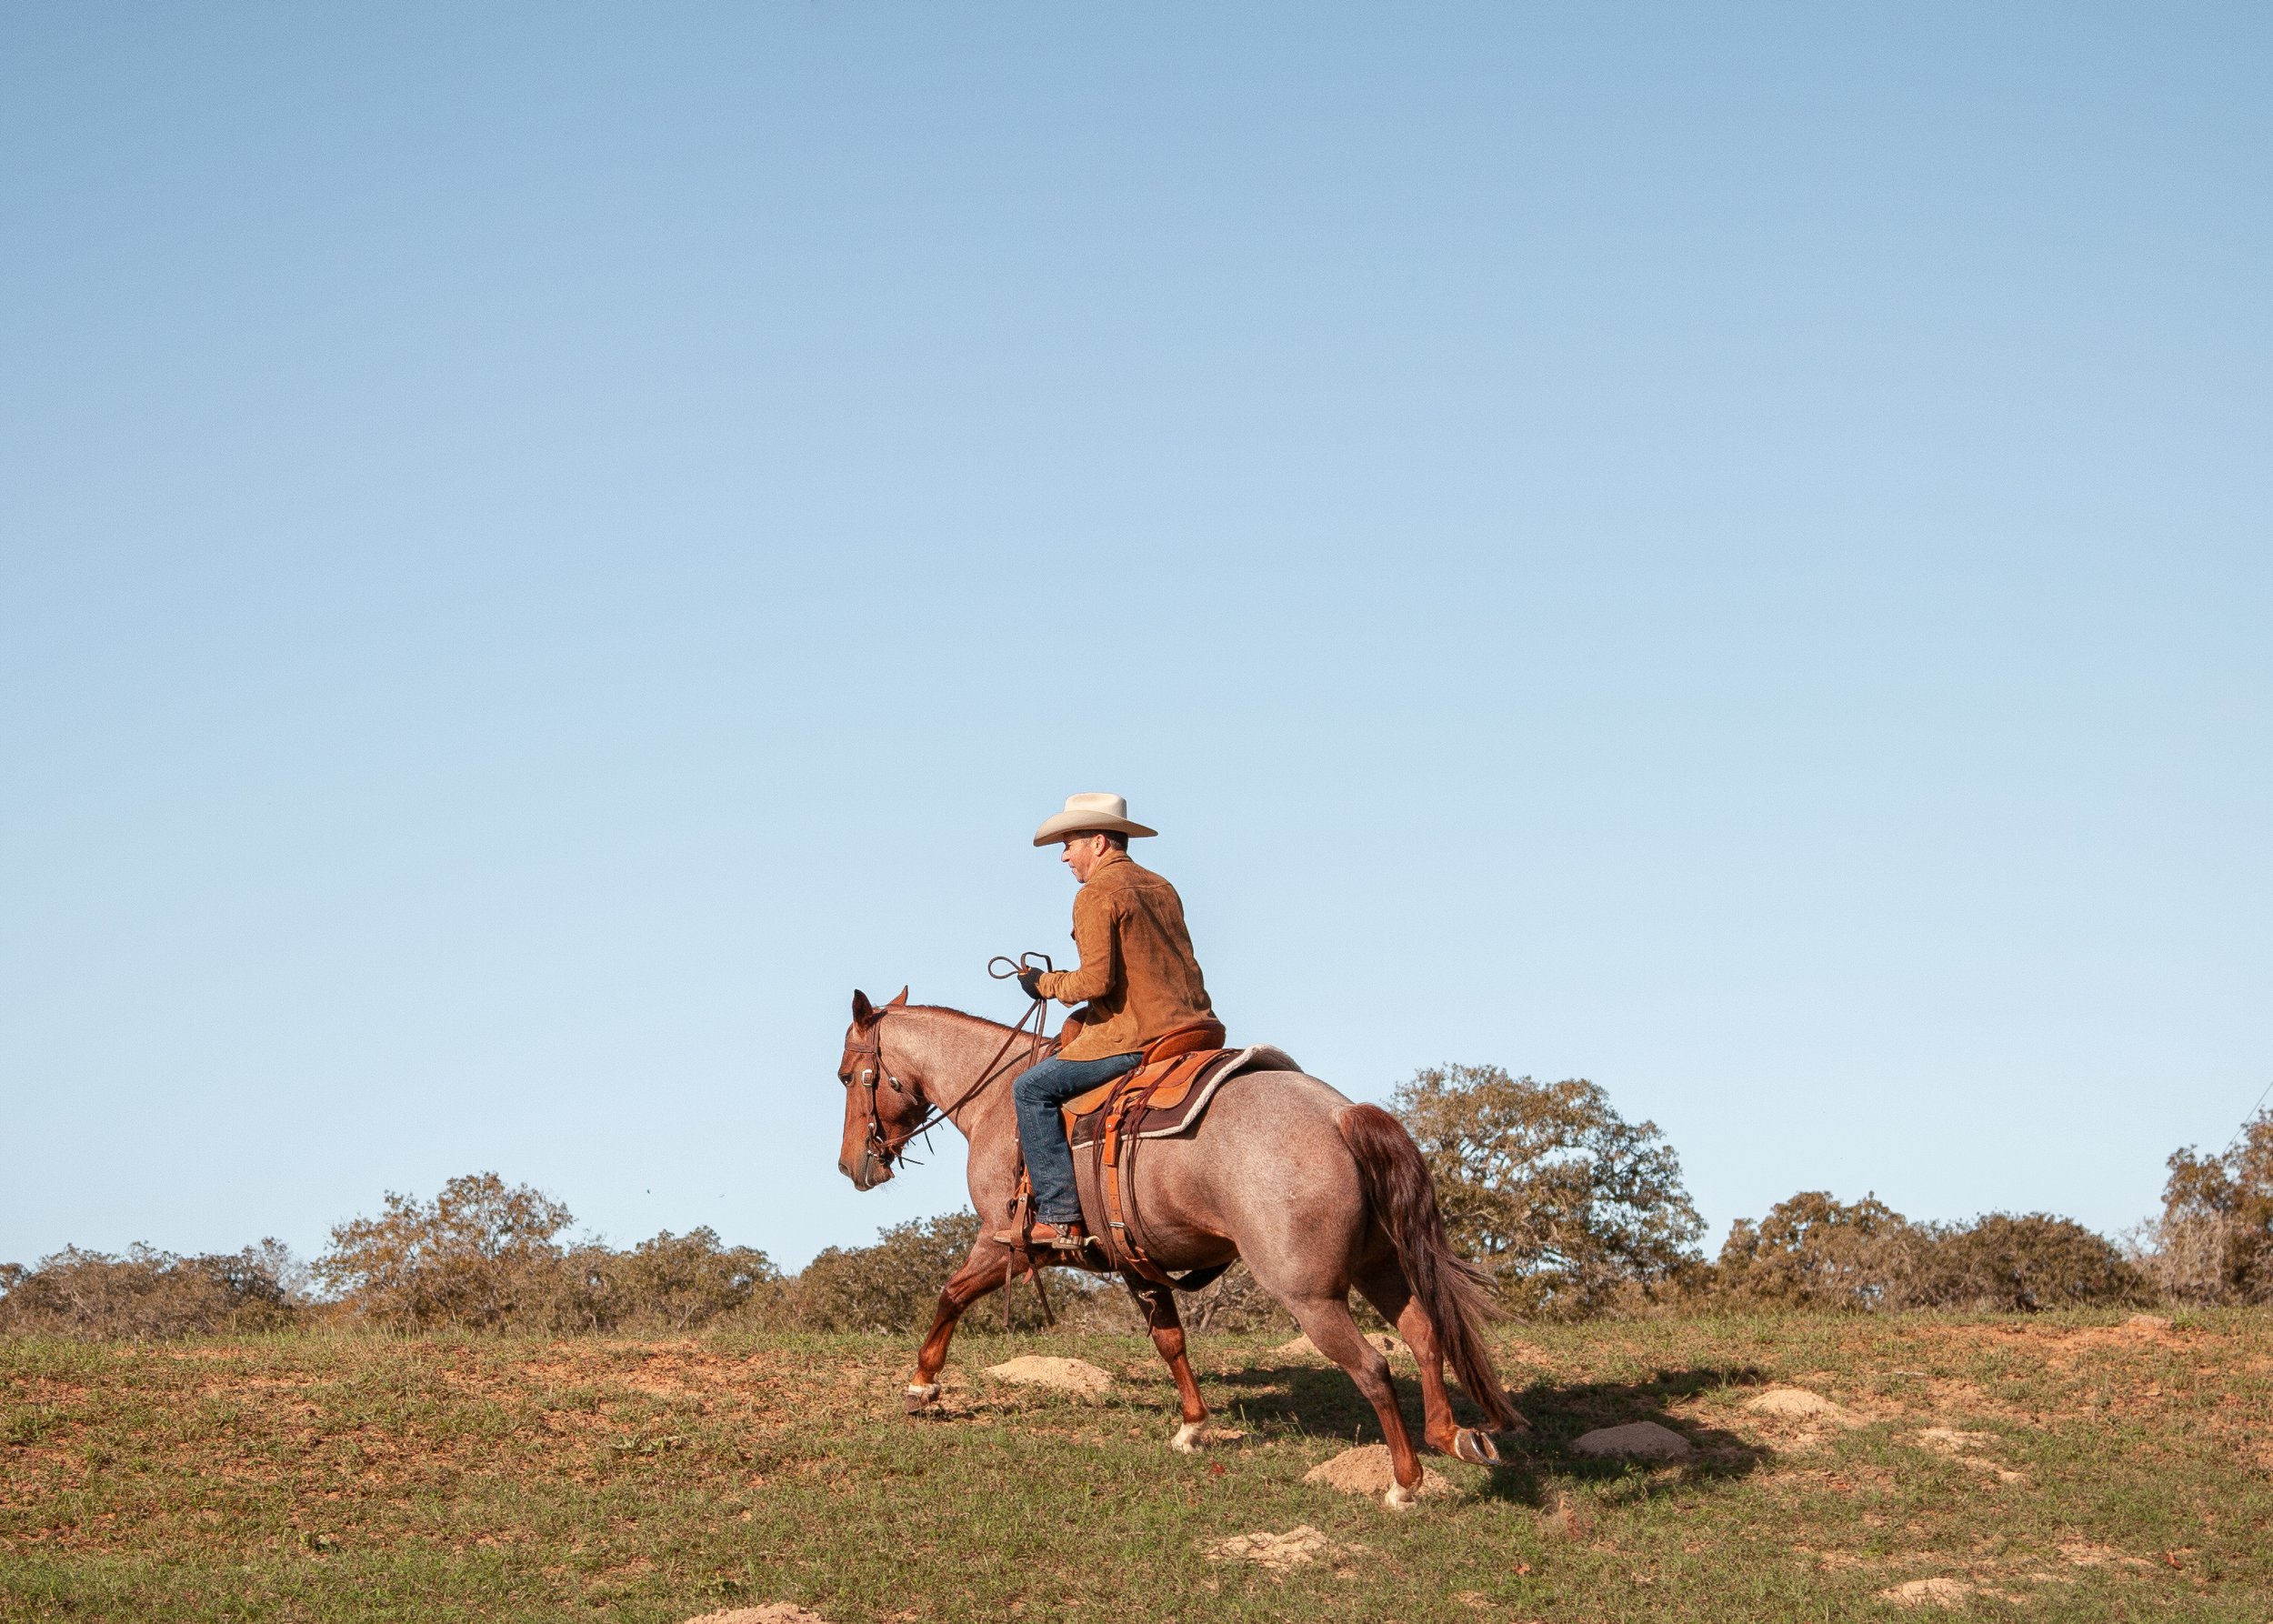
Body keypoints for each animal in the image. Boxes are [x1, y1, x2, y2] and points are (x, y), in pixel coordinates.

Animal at [836, 982, 1527, 1500]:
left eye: (847, 1075)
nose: (852, 1167)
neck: (1000, 1103)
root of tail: (1339, 1115)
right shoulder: (1132, 1258)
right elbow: (1170, 1340)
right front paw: (1193, 1427)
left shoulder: (1005, 1242)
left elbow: (949, 1296)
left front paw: (922, 1386)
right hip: (1381, 1268)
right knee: (1424, 1336)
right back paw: (1452, 1436)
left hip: (1311, 1295)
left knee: (1373, 1368)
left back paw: (1404, 1483)